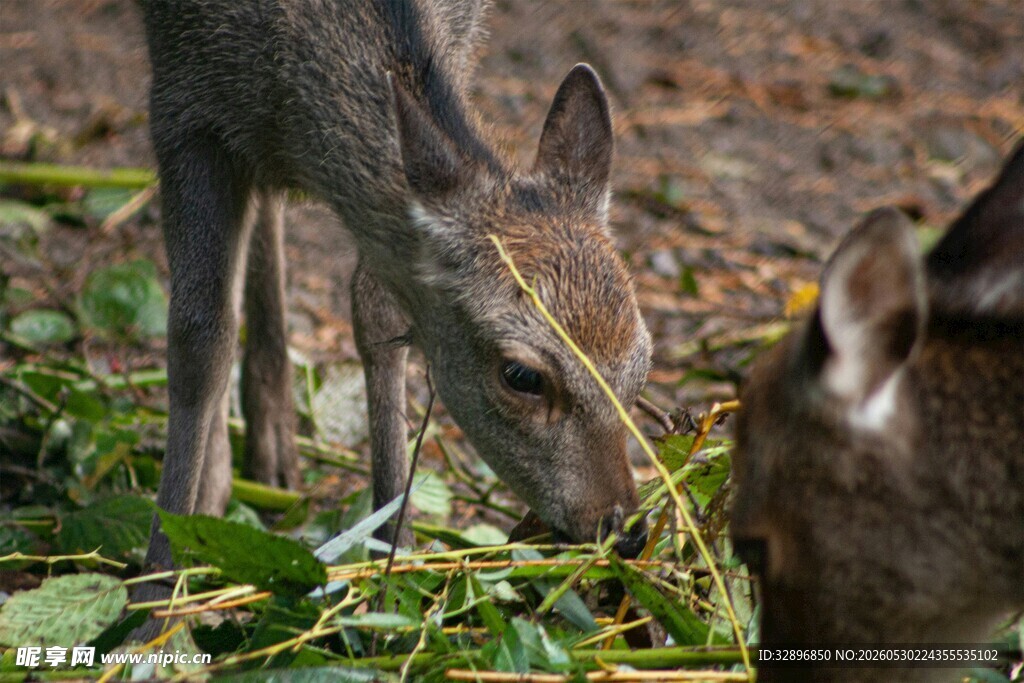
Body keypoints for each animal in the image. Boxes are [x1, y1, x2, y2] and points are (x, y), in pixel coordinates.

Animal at [137, 0, 653, 605]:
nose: (625, 528)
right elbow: (198, 341)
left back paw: (269, 453)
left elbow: (376, 315)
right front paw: (152, 594)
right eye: (521, 376)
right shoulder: (180, 100)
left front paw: (395, 556)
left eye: (644, 362)